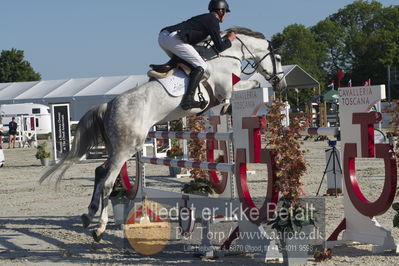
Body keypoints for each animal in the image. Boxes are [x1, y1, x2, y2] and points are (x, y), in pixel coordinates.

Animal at [39, 27, 288, 241]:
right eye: (278, 59)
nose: (281, 84)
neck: (227, 55)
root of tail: (108, 105)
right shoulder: (226, 89)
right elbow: (251, 83)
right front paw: (230, 107)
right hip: (126, 148)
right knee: (108, 181)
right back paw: (99, 228)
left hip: (119, 147)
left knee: (100, 172)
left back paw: (88, 215)